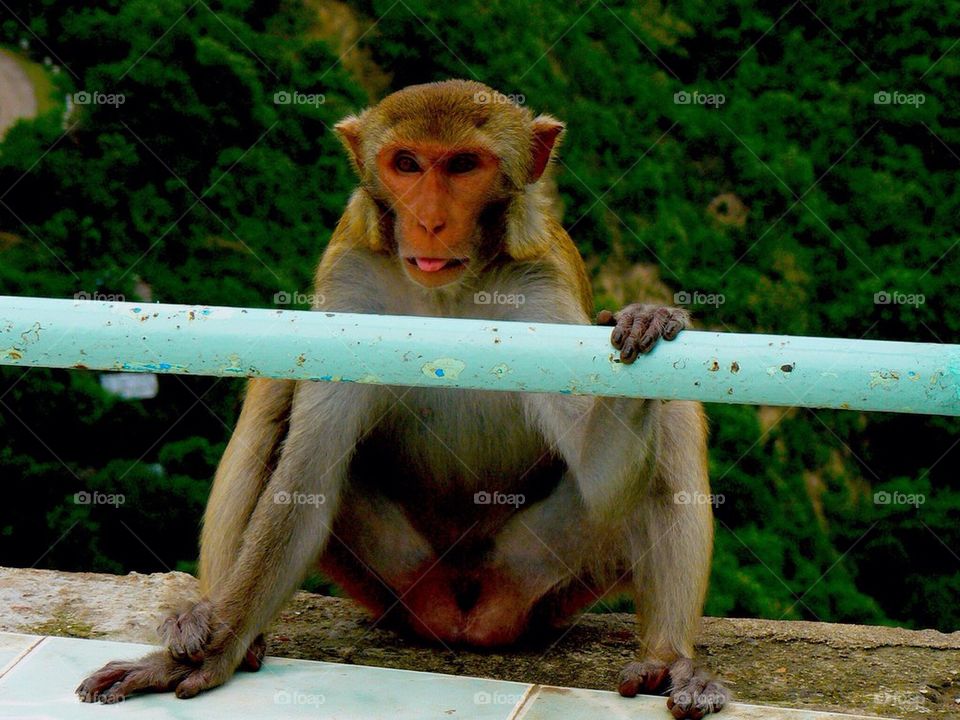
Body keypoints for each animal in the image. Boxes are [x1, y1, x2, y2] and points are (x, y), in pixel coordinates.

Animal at [77, 79, 729, 719]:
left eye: (463, 165)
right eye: (407, 164)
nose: (430, 221)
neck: (447, 295)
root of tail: (465, 616)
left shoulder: (540, 292)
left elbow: (602, 475)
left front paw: (645, 317)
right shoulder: (352, 284)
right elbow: (305, 480)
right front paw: (208, 650)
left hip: (544, 572)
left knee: (673, 418)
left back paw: (668, 660)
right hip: (394, 576)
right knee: (274, 392)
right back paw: (216, 620)